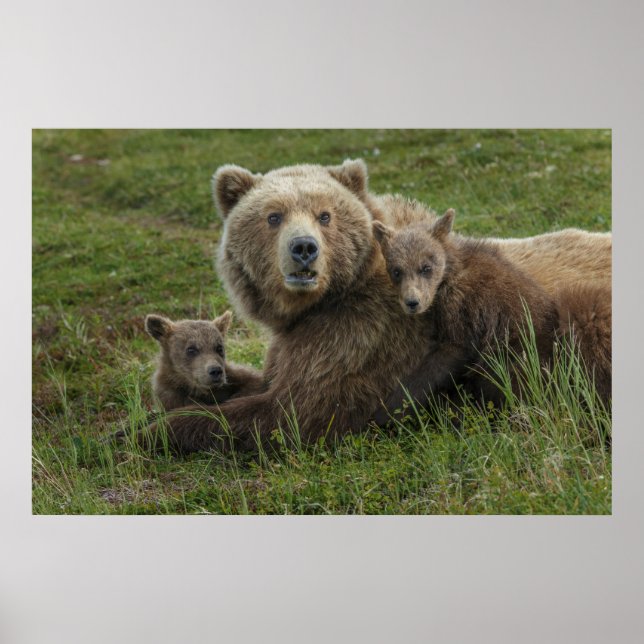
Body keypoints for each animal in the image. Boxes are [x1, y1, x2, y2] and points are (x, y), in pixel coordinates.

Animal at [371, 208, 561, 413]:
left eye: (426, 267)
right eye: (396, 271)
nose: (412, 302)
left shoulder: (469, 312)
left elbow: (447, 357)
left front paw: (387, 409)